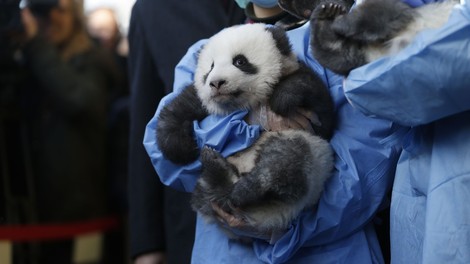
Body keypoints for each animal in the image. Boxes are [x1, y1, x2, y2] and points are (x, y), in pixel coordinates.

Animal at [157, 23, 334, 237]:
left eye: (240, 61)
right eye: (211, 67)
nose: (216, 83)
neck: (241, 104)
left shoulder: (307, 99)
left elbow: (322, 115)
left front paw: (282, 100)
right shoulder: (201, 101)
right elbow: (178, 109)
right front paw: (179, 148)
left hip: (308, 152)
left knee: (284, 162)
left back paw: (245, 188)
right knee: (213, 194)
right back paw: (216, 170)